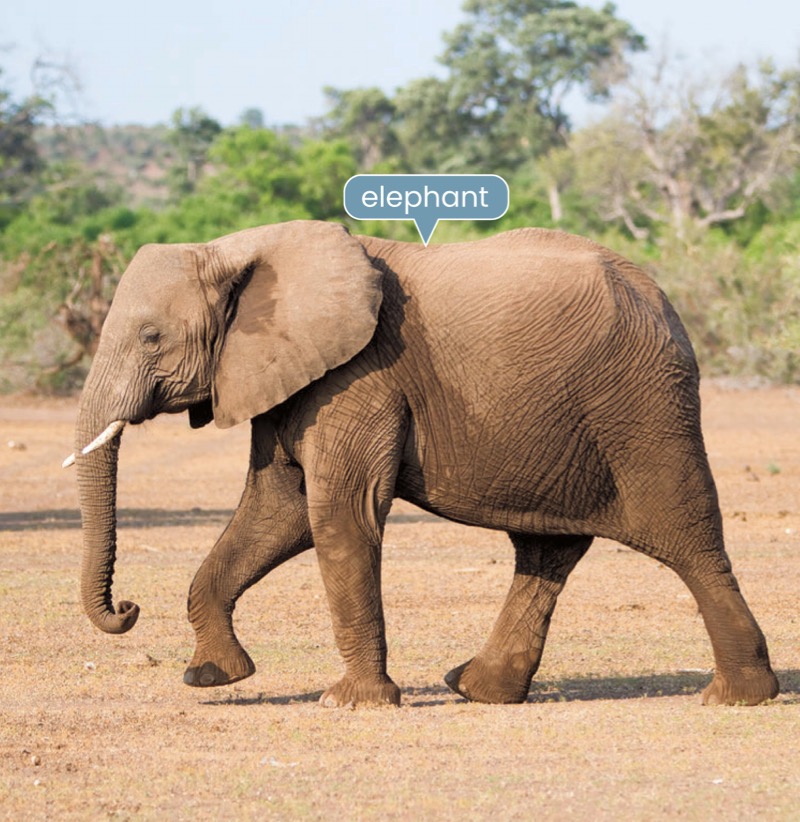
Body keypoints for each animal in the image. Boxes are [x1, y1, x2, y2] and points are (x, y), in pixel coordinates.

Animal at [66, 219, 779, 708]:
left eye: (151, 337)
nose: (127, 608)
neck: (239, 249)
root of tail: (663, 301)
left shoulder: (360, 375)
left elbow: (338, 515)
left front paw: (351, 703)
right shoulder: (289, 373)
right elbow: (277, 511)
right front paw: (213, 677)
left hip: (643, 409)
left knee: (689, 541)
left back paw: (738, 697)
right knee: (546, 551)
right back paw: (478, 689)